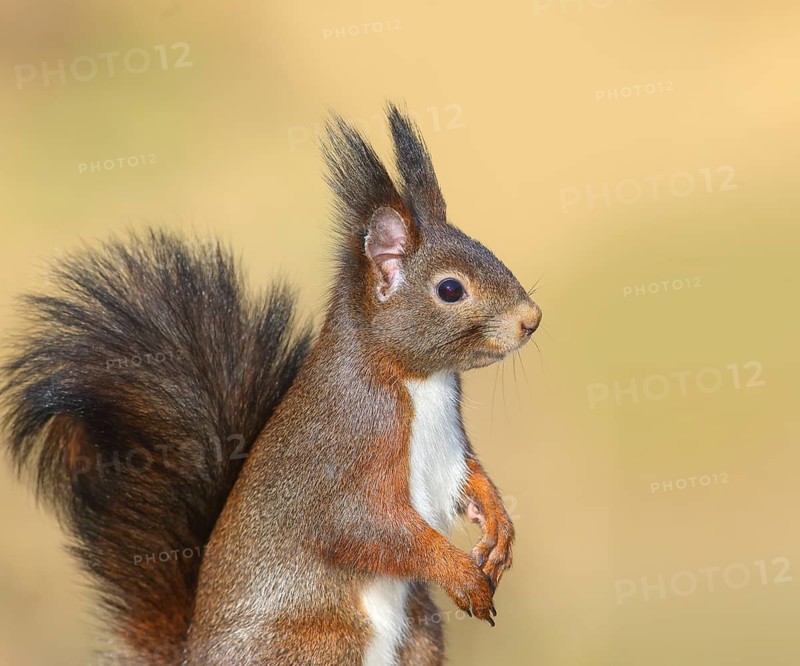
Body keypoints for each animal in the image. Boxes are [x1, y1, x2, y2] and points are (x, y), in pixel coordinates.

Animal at [1, 104, 541, 666]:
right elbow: (367, 530)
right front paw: (462, 574)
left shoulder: (451, 448)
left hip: (418, 633)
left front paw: (500, 530)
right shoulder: (345, 462)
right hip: (321, 642)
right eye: (450, 289)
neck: (420, 382)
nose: (532, 319)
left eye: (487, 248)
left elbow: (472, 481)